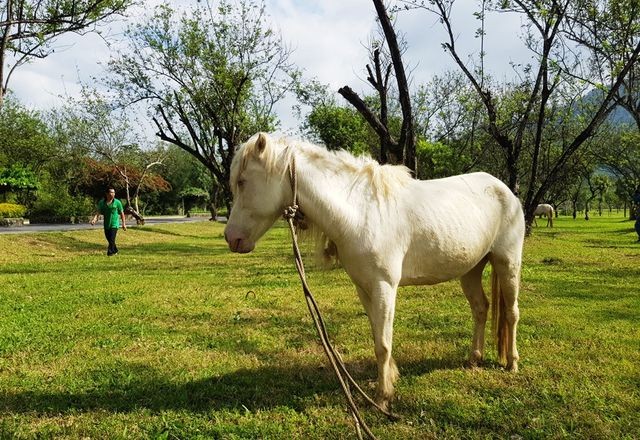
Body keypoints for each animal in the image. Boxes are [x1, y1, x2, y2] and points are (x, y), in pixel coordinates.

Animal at [222, 132, 524, 410]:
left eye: (242, 181)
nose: (231, 238)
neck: (360, 213)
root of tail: (506, 191)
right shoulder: (364, 288)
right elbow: (377, 337)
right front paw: (388, 381)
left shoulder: (384, 287)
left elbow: (383, 343)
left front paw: (382, 397)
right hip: (471, 269)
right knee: (481, 308)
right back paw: (474, 358)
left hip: (507, 263)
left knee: (511, 313)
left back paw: (512, 363)